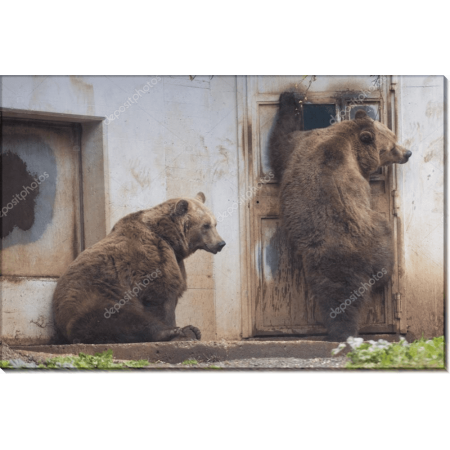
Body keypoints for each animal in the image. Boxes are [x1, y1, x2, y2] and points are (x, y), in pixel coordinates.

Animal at [52, 192, 225, 344]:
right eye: (206, 225)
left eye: (215, 224)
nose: (221, 243)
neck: (169, 238)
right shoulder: (153, 256)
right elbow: (160, 296)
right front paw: (174, 327)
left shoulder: (176, 260)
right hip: (95, 297)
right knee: (124, 320)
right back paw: (184, 331)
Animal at [268, 93, 414, 342]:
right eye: (390, 146)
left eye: (394, 137)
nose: (407, 153)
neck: (348, 141)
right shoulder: (304, 146)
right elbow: (282, 142)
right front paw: (290, 97)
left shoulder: (302, 147)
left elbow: (283, 142)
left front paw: (289, 98)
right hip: (361, 239)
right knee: (348, 288)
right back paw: (345, 327)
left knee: (335, 292)